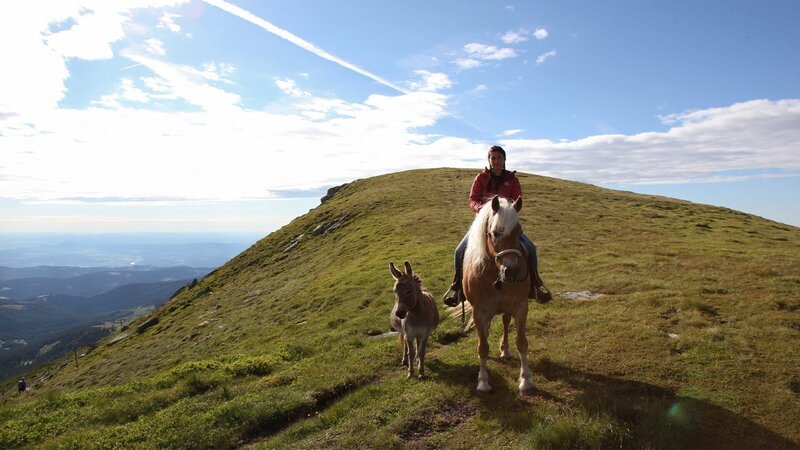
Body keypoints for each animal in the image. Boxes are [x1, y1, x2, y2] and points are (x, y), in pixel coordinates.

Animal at [463, 195, 534, 393]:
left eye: (519, 232)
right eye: (495, 233)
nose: (512, 272)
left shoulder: (521, 307)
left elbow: (521, 343)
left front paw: (525, 380)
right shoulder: (479, 312)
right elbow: (483, 347)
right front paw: (483, 382)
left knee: (505, 323)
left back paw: (505, 350)